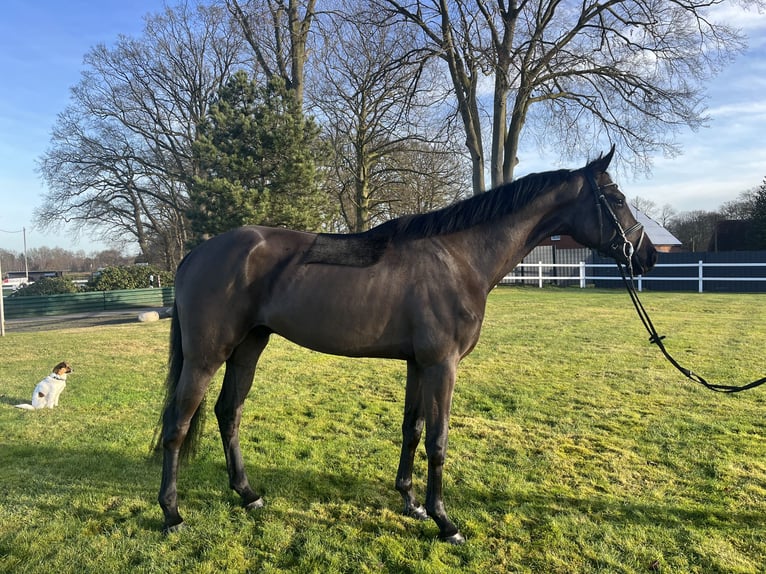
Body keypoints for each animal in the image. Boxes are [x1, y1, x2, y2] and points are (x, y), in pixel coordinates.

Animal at [156, 147, 660, 544]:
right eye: (617, 199)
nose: (649, 255)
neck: (459, 259)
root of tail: (195, 254)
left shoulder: (418, 364)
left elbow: (412, 429)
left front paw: (411, 501)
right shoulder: (442, 365)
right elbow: (438, 440)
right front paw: (445, 522)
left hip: (248, 347)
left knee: (229, 413)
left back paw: (248, 495)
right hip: (206, 356)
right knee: (177, 425)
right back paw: (172, 513)